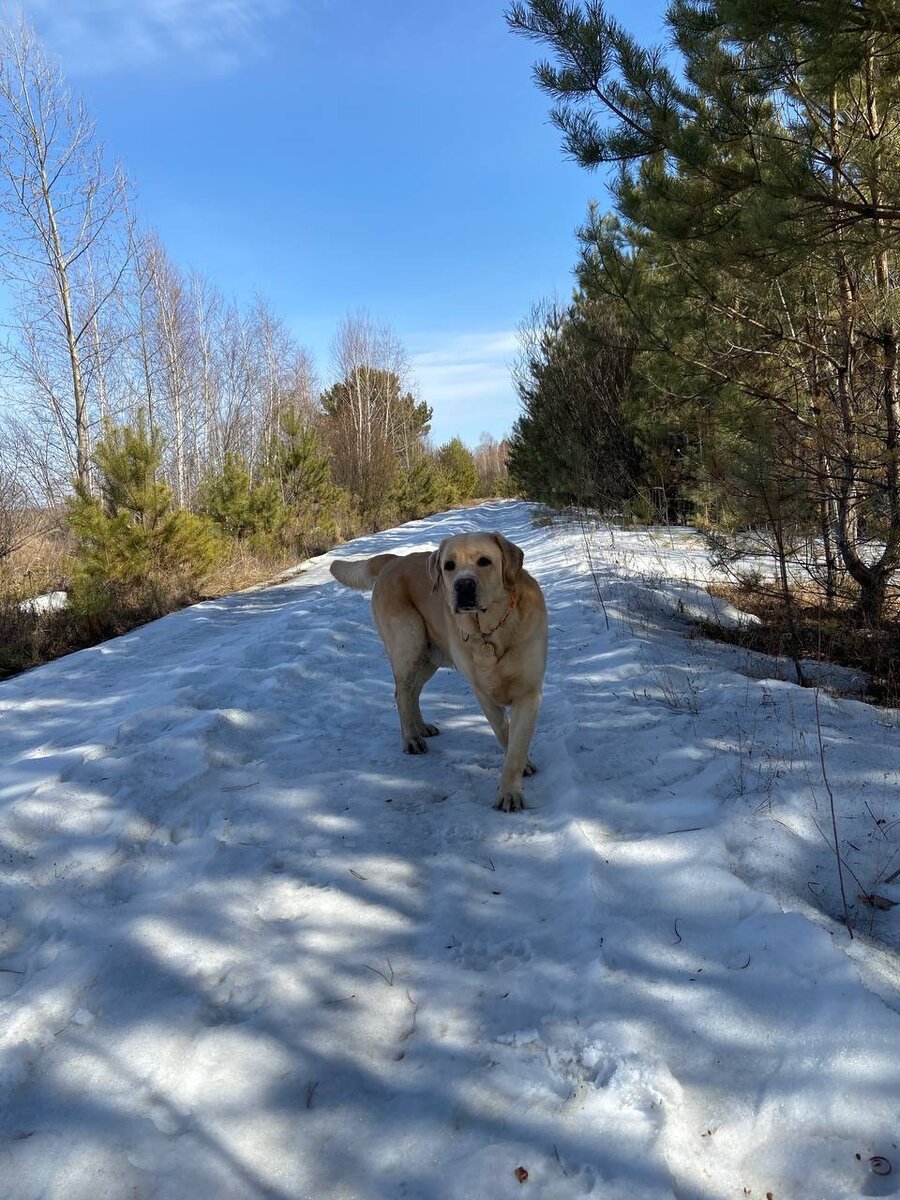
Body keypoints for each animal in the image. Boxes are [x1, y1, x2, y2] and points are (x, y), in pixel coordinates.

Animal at [328, 532, 547, 806]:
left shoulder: (528, 693)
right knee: (401, 693)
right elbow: (505, 733)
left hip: (428, 657)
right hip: (408, 643)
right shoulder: (484, 694)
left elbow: (516, 744)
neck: (492, 631)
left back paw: (420, 727)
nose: (463, 586)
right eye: (449, 566)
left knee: (412, 692)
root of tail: (394, 560)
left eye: (484, 561)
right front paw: (512, 788)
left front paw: (511, 789)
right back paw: (411, 738)